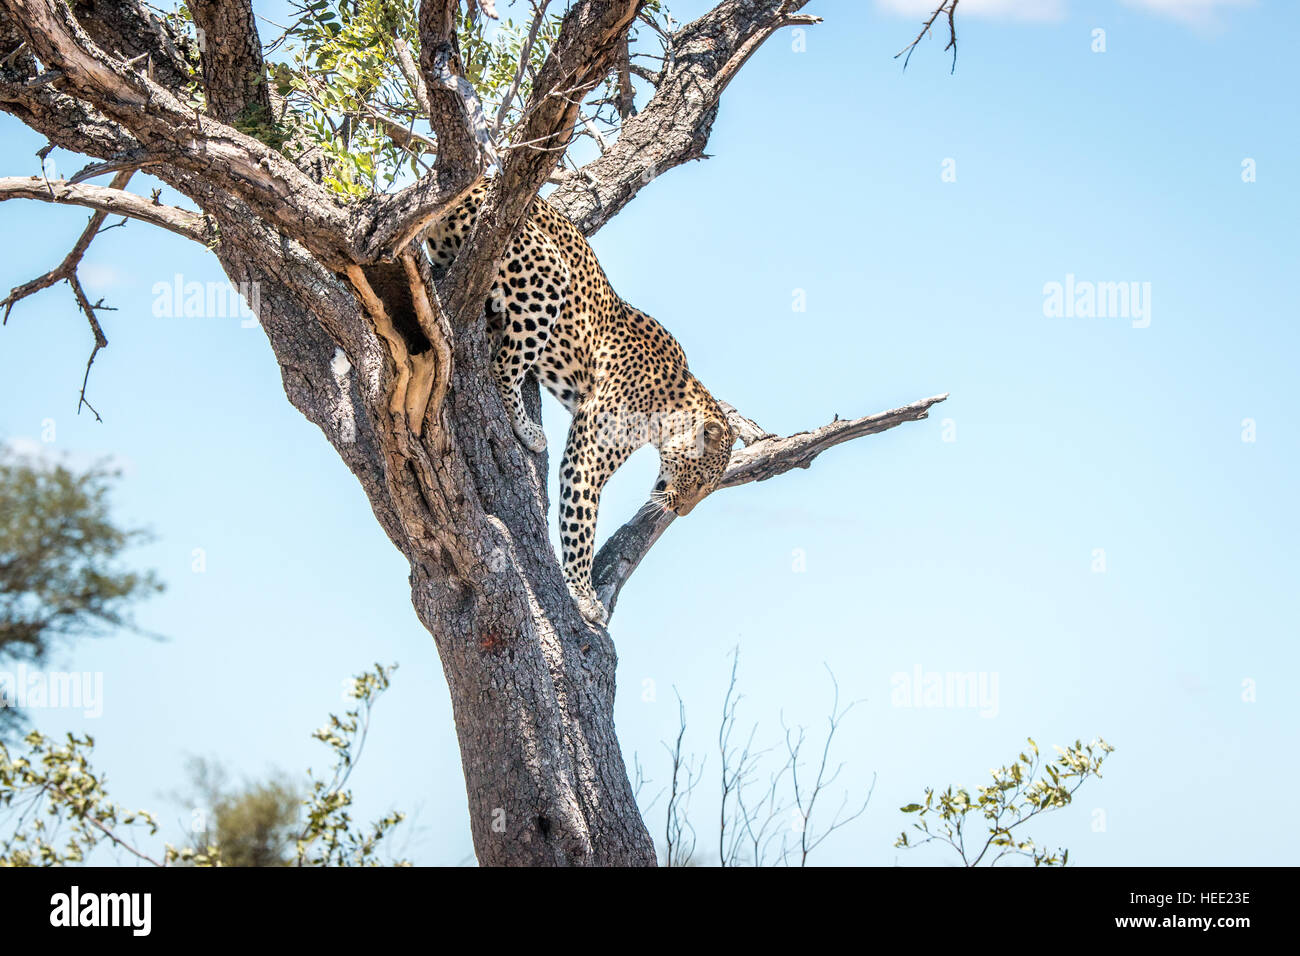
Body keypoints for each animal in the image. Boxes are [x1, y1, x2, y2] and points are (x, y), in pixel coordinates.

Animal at [426, 179, 735, 626]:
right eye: (698, 481)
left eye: (707, 489)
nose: (682, 512)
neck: (670, 401)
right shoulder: (589, 453)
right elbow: (581, 522)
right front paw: (584, 595)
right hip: (547, 275)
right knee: (503, 366)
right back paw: (528, 430)